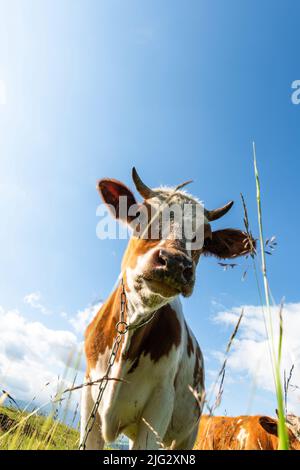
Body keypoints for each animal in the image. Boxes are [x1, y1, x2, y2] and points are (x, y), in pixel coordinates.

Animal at [79, 169, 253, 452]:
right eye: (140, 214)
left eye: (206, 240)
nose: (174, 263)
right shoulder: (89, 394)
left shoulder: (160, 405)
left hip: (187, 434)